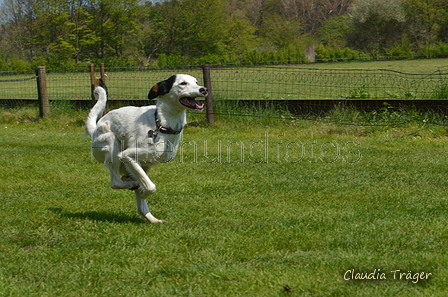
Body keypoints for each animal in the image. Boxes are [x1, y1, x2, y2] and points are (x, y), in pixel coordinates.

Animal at [85, 74, 207, 222]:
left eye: (196, 82)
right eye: (183, 83)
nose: (204, 89)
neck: (161, 125)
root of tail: (94, 129)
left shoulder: (144, 163)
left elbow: (146, 185)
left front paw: (142, 193)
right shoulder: (126, 155)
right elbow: (151, 186)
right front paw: (144, 192)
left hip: (142, 166)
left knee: (139, 202)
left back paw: (152, 218)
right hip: (112, 143)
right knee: (115, 182)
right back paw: (132, 185)